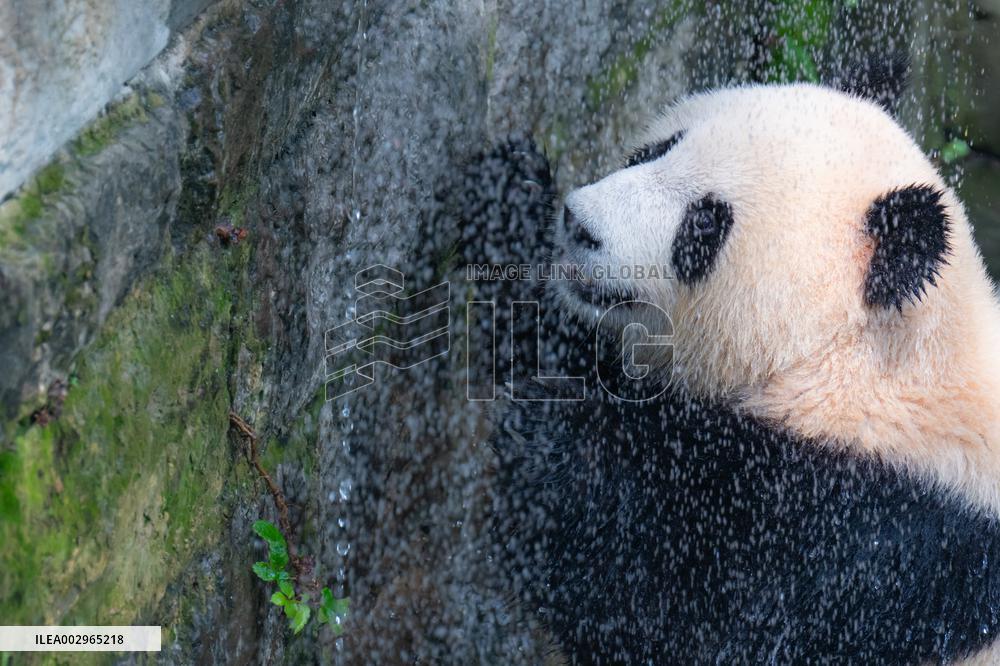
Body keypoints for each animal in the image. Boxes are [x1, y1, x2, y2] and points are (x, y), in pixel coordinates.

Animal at [465, 58, 1000, 666]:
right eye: (656, 149)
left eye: (704, 223)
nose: (581, 225)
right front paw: (510, 195)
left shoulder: (885, 548)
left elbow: (679, 619)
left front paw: (557, 438)